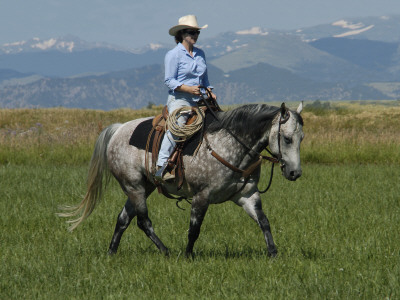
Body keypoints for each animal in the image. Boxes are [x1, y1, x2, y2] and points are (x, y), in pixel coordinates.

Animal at [58, 102, 304, 256]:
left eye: (301, 138)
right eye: (287, 138)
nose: (295, 173)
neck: (230, 145)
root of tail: (118, 130)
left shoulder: (247, 195)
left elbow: (263, 221)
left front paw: (273, 253)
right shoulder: (202, 196)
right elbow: (194, 229)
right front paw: (187, 256)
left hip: (142, 187)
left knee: (123, 219)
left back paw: (111, 252)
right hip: (134, 186)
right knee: (142, 221)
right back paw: (165, 251)